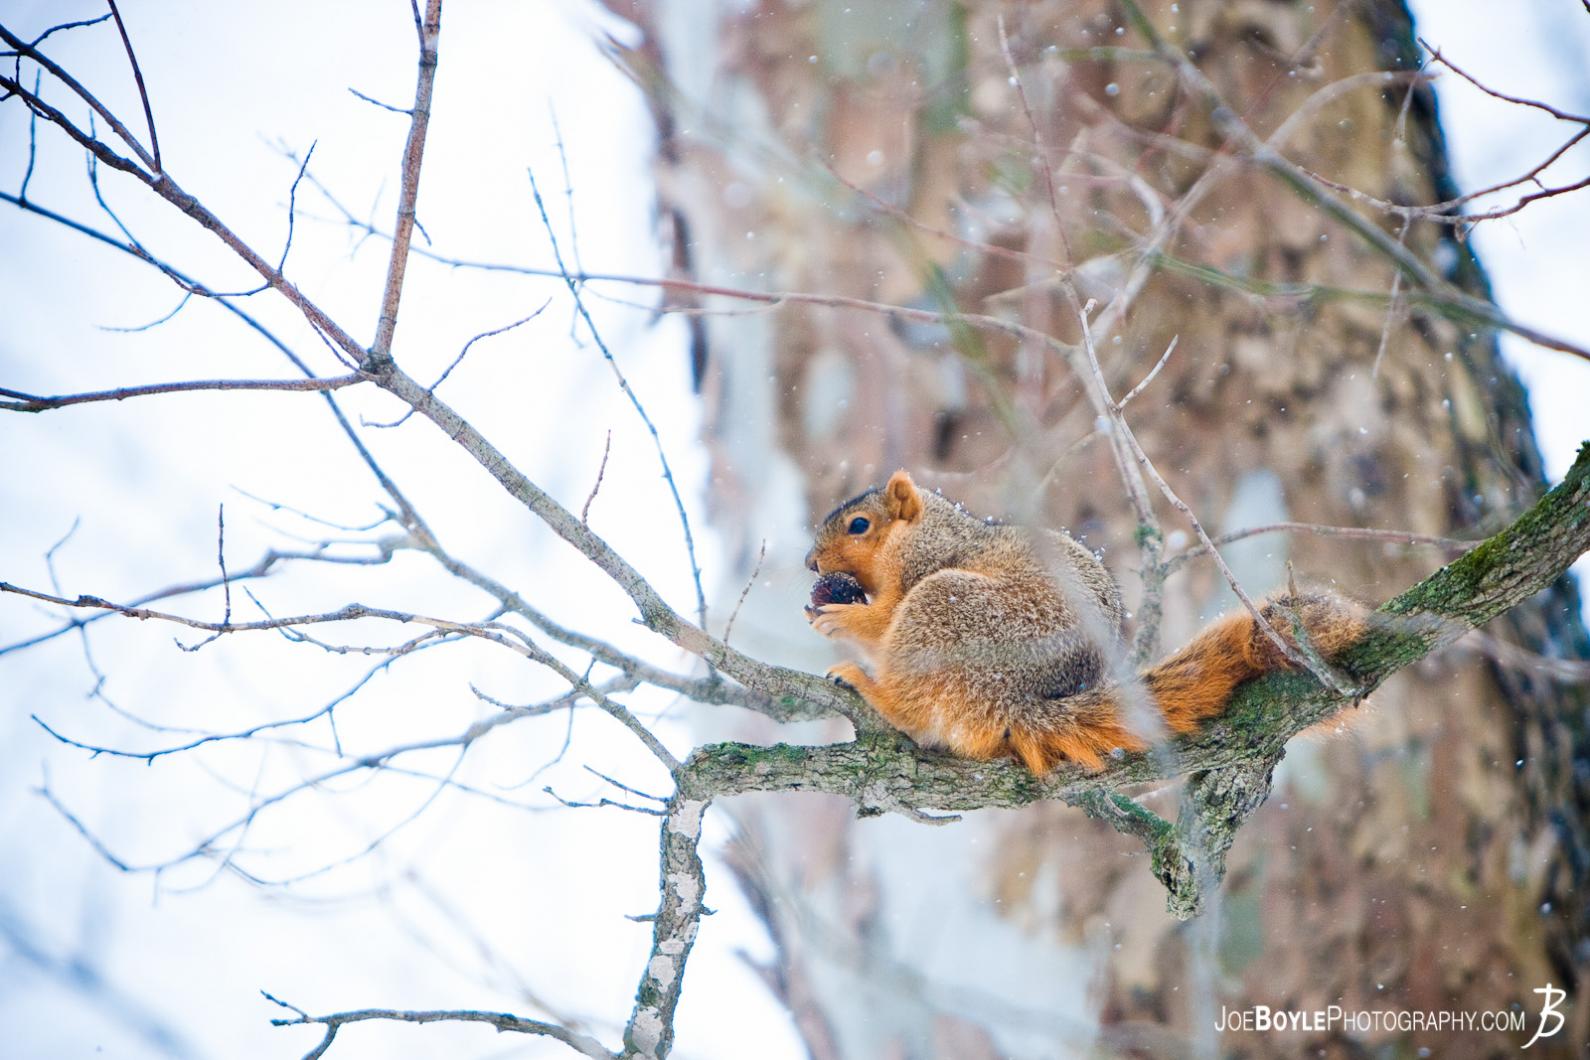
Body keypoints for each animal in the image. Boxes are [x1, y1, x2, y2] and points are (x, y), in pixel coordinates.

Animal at [804, 469, 1367, 773]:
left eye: (859, 525)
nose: (810, 564)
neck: (928, 529)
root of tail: (1016, 703)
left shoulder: (925, 564)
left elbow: (883, 622)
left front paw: (841, 617)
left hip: (946, 610)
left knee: (913, 709)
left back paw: (872, 689)